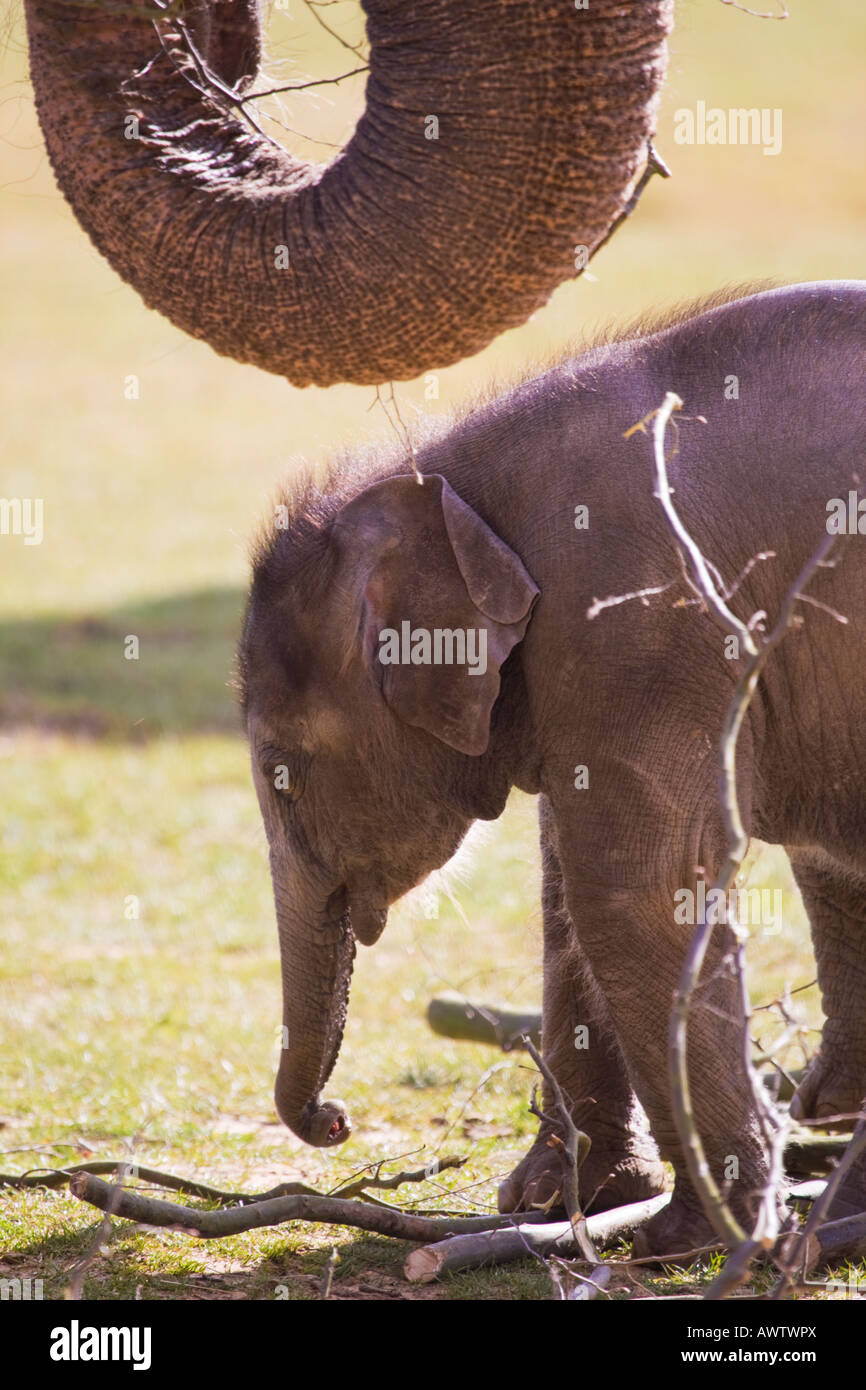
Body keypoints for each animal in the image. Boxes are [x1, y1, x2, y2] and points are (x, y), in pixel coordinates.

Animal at [239, 282, 866, 1262]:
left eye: (280, 772)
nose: (334, 1120)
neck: (449, 481)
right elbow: (570, 889)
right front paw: (554, 1201)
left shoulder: (639, 627)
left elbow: (631, 894)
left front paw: (690, 1240)